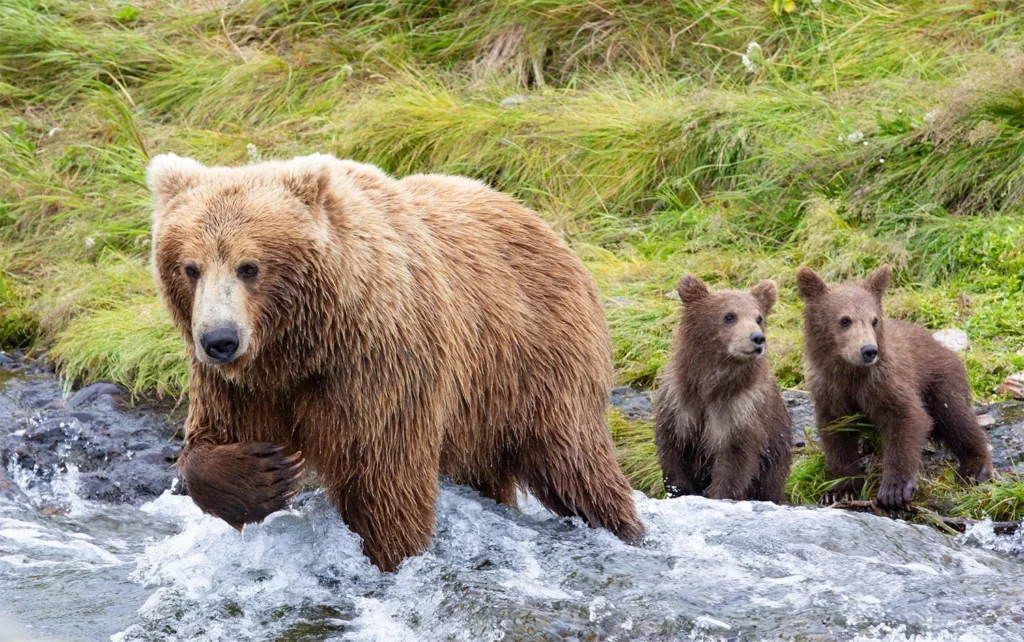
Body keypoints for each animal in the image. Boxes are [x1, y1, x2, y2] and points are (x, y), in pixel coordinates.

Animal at [146, 153, 644, 571]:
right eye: (191, 267)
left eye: (249, 266)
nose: (220, 340)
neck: (301, 348)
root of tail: (540, 222)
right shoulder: (242, 386)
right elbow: (211, 440)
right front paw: (264, 473)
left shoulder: (378, 367)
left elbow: (383, 479)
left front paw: (392, 556)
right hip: (481, 404)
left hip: (540, 359)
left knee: (575, 464)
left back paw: (625, 530)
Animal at [653, 274, 793, 503]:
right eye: (729, 316)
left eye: (759, 318)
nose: (757, 338)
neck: (711, 385)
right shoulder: (679, 406)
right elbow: (673, 455)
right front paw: (679, 490)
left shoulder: (740, 411)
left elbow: (735, 463)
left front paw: (719, 495)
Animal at [796, 265, 992, 509]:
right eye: (845, 320)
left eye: (874, 320)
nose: (869, 350)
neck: (849, 373)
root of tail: (940, 344)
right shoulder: (830, 392)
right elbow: (837, 437)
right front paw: (839, 490)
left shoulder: (884, 382)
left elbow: (906, 418)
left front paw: (894, 489)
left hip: (939, 380)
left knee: (956, 417)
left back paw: (974, 468)